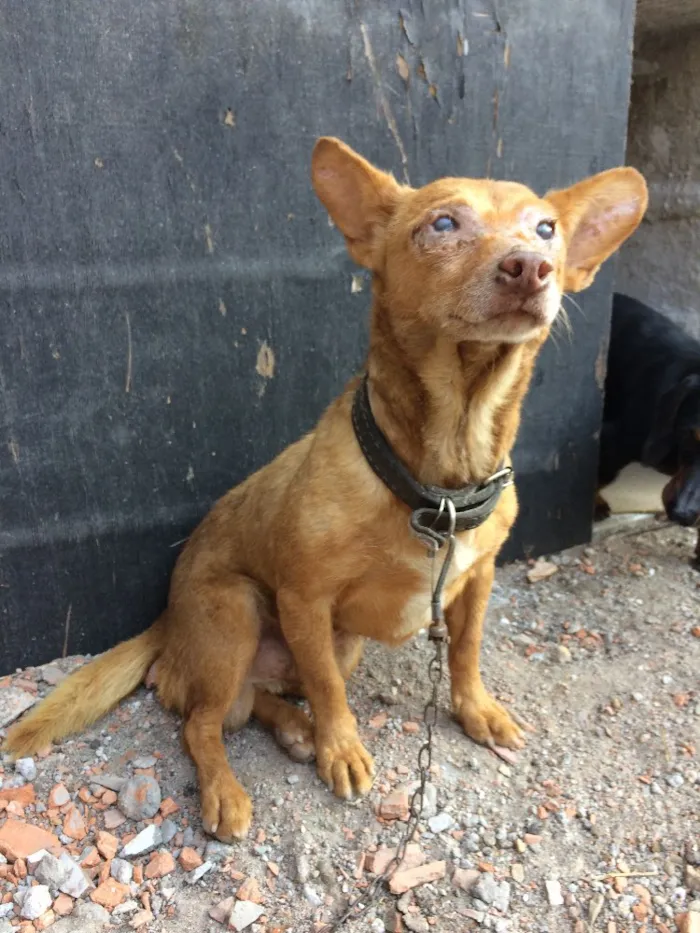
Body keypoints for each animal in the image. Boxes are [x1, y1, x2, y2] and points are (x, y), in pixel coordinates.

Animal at [2, 137, 648, 836]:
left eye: (547, 229)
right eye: (443, 224)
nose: (530, 267)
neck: (441, 480)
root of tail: (166, 622)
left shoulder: (476, 581)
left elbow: (465, 653)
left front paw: (475, 710)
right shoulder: (304, 599)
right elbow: (330, 694)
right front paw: (340, 748)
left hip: (342, 646)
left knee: (258, 698)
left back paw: (292, 728)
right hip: (237, 615)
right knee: (202, 723)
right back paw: (229, 789)